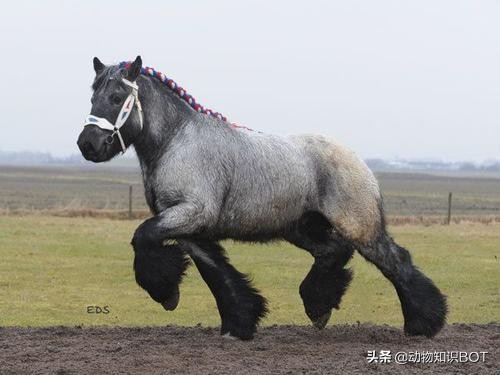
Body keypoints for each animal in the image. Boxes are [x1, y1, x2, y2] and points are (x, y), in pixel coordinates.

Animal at [76, 55, 448, 340]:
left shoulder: (191, 213)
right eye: (92, 97)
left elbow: (142, 237)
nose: (88, 144)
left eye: (116, 97)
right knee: (333, 252)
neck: (176, 142)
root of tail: (357, 159)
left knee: (396, 262)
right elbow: (217, 273)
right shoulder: (187, 228)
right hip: (301, 228)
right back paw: (318, 307)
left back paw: (423, 323)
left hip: (360, 227)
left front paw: (167, 295)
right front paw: (238, 323)